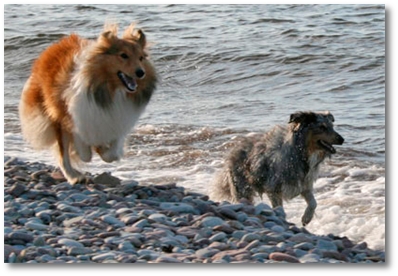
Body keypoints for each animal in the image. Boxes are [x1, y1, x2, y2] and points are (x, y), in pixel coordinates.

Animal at [19, 23, 157, 183]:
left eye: (141, 58)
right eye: (123, 55)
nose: (141, 73)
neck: (111, 92)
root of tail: (53, 47)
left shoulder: (118, 121)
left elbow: (113, 153)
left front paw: (102, 149)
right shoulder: (75, 116)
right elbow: (84, 151)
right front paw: (91, 149)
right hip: (55, 116)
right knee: (63, 156)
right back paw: (74, 176)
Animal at [211, 111, 346, 225]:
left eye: (332, 126)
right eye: (322, 127)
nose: (342, 139)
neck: (301, 153)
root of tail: (233, 150)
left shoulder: (304, 184)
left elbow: (313, 202)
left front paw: (307, 218)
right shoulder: (274, 188)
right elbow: (280, 209)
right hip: (241, 187)